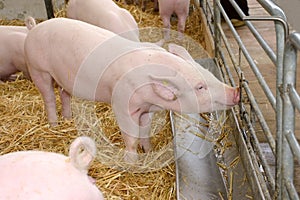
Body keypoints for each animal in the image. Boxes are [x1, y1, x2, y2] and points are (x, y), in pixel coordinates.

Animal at [24, 17, 239, 162]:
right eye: (200, 87)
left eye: (209, 74)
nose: (236, 91)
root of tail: (34, 28)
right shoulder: (122, 103)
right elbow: (131, 136)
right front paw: (132, 162)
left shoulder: (146, 109)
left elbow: (145, 131)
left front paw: (149, 150)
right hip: (37, 69)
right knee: (49, 98)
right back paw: (54, 125)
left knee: (64, 94)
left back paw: (68, 118)